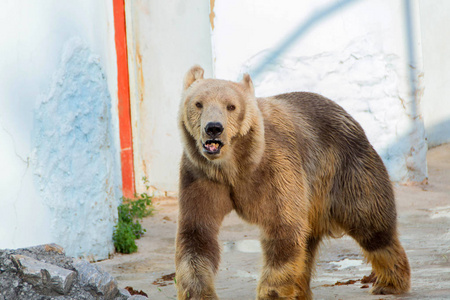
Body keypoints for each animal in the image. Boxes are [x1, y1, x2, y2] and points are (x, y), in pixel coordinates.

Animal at [176, 65, 412, 300]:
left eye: (231, 106)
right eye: (198, 103)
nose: (214, 128)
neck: (236, 166)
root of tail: (347, 113)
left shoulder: (275, 169)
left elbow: (283, 228)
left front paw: (272, 292)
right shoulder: (201, 176)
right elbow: (197, 234)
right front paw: (198, 292)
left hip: (346, 170)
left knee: (370, 222)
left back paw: (390, 282)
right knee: (308, 244)